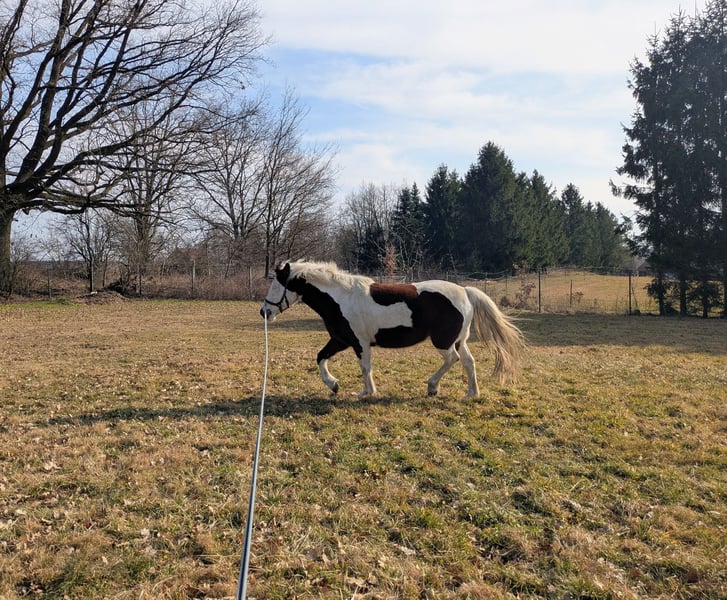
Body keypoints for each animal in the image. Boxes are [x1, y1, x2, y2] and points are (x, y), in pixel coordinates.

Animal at [260, 260, 525, 397]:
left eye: (277, 286)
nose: (265, 312)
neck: (341, 298)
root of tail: (466, 291)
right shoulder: (340, 340)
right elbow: (320, 357)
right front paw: (334, 385)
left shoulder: (359, 343)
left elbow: (365, 367)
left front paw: (366, 392)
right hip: (459, 340)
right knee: (469, 362)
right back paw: (471, 393)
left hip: (442, 341)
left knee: (453, 359)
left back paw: (432, 386)